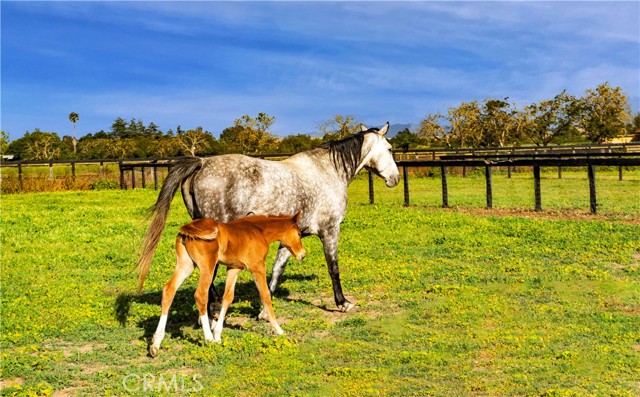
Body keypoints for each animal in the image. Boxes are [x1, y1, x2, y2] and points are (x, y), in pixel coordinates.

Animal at [139, 122, 400, 314]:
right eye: (389, 149)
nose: (395, 179)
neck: (329, 171)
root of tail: (202, 163)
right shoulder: (330, 230)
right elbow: (333, 267)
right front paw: (342, 302)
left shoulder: (292, 236)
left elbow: (277, 268)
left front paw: (265, 309)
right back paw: (213, 309)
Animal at [149, 210, 304, 356]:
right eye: (299, 233)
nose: (302, 254)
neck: (258, 230)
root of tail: (187, 227)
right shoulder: (258, 267)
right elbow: (265, 294)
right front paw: (279, 329)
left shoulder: (234, 268)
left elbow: (228, 298)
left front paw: (218, 335)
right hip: (207, 266)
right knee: (200, 294)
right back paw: (208, 338)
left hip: (185, 265)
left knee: (169, 290)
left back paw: (156, 343)